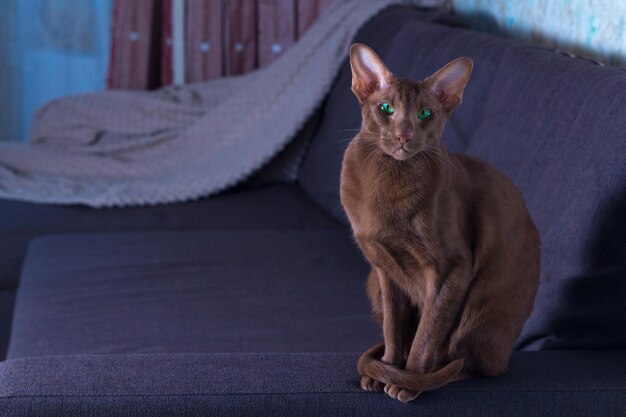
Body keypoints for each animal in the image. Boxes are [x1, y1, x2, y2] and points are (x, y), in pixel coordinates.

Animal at [338, 44, 540, 402]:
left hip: (479, 306)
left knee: (471, 363)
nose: (403, 136)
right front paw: (387, 368)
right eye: (386, 108)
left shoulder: (452, 270)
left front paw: (408, 381)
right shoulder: (385, 270)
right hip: (372, 284)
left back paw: (434, 376)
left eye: (425, 114)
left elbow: (428, 332)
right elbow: (394, 330)